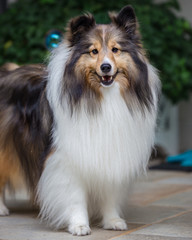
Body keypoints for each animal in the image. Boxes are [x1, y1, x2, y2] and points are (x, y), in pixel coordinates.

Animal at [0, 5, 160, 236]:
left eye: (115, 49)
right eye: (93, 51)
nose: (105, 67)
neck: (102, 97)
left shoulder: (112, 153)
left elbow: (110, 193)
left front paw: (112, 220)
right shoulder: (66, 159)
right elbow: (75, 196)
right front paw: (79, 225)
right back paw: (2, 209)